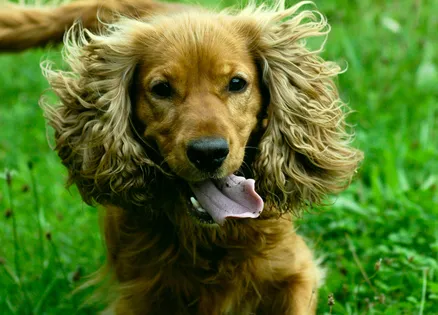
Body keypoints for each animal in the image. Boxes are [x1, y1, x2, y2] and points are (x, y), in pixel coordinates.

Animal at [0, 0, 362, 314]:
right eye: (161, 89)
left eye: (236, 83)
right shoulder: (140, 295)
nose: (208, 153)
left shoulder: (296, 271)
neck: (208, 237)